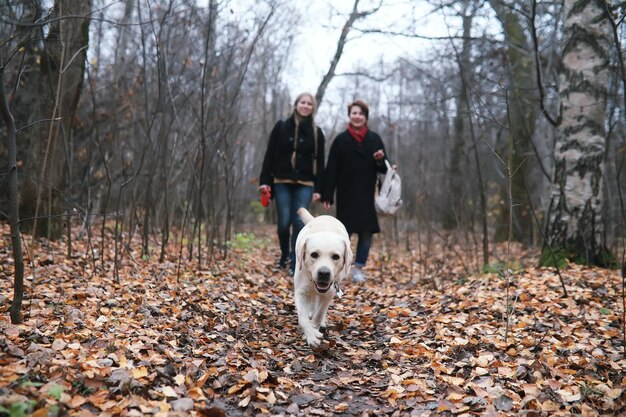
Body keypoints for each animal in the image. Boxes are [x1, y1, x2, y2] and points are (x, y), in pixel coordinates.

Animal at [292, 208, 352, 348]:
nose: (324, 273)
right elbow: (302, 319)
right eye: (314, 254)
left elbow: (319, 313)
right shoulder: (301, 292)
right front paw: (311, 335)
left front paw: (314, 328)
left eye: (336, 256)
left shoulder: (329, 292)